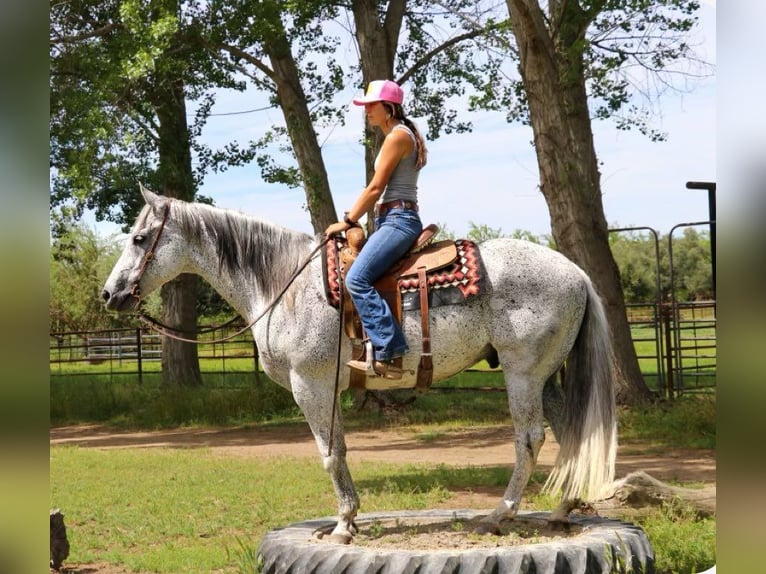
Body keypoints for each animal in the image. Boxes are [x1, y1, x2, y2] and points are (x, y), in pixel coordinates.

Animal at [102, 186, 616, 544]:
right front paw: (349, 517)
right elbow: (341, 450)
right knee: (571, 432)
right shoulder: (324, 388)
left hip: (522, 372)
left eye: (140, 237)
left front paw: (344, 524)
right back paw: (562, 511)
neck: (283, 286)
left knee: (530, 438)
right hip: (545, 376)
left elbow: (330, 453)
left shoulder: (309, 384)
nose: (110, 294)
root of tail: (576, 272)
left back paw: (499, 514)